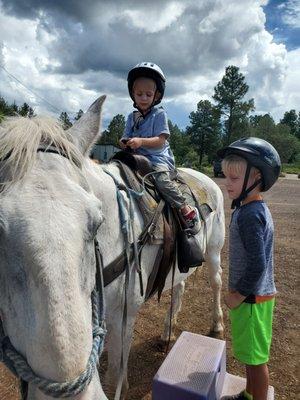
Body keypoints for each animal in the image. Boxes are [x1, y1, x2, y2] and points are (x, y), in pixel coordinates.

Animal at [0, 97, 225, 400]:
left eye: (97, 222)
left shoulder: (124, 315)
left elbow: (117, 370)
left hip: (213, 252)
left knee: (216, 282)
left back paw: (217, 325)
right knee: (179, 285)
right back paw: (167, 331)